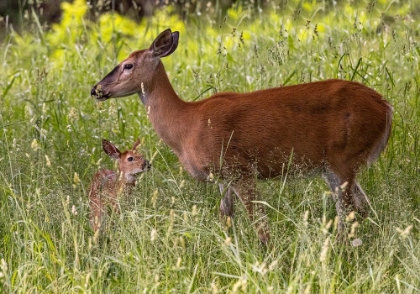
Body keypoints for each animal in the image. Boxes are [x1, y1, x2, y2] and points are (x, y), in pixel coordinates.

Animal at [90, 28, 392, 246]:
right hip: (334, 165)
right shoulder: (223, 176)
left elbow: (259, 222)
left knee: (349, 212)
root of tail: (386, 108)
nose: (96, 89)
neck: (186, 126)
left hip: (344, 157)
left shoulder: (241, 167)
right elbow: (226, 216)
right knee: (363, 208)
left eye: (128, 65)